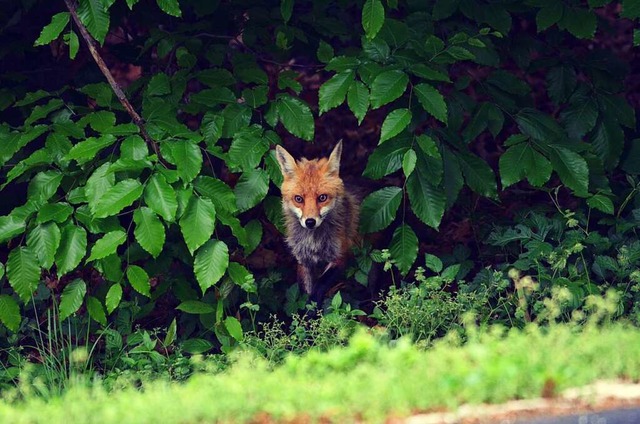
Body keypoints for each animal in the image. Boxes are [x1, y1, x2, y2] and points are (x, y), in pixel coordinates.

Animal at [276, 142, 360, 304]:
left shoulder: (340, 255)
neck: (314, 241)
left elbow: (320, 285)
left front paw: (312, 307)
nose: (310, 222)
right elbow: (305, 291)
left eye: (322, 197)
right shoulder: (303, 260)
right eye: (298, 199)